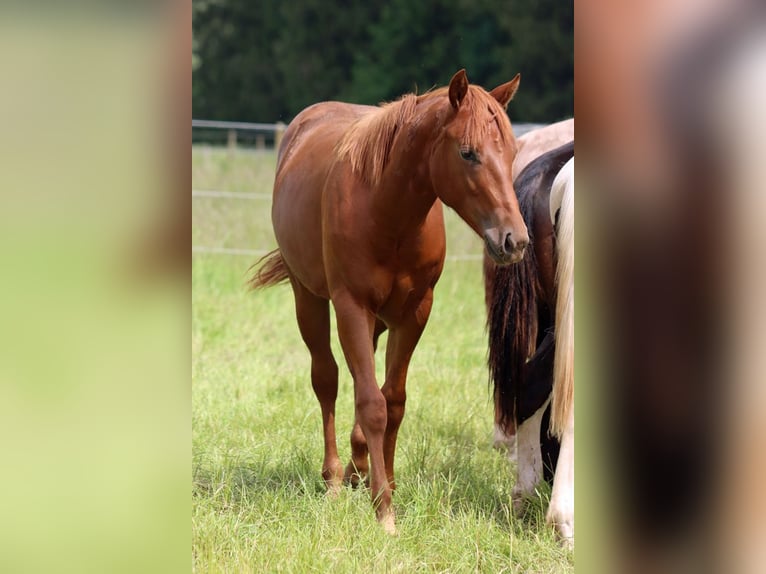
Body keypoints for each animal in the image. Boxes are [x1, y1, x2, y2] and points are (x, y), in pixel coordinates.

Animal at [250, 70, 528, 532]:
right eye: (468, 153)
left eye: (511, 152)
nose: (514, 240)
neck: (386, 208)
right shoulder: (351, 306)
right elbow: (371, 403)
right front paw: (384, 511)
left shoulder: (414, 312)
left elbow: (393, 401)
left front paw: (388, 485)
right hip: (309, 299)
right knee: (327, 379)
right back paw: (335, 477)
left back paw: (359, 466)